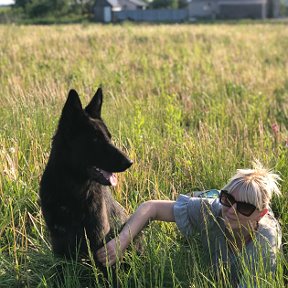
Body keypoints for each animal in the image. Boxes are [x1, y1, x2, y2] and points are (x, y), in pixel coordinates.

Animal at [39, 89, 132, 264]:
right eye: (95, 139)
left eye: (109, 137)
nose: (130, 162)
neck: (72, 191)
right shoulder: (59, 243)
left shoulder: (99, 242)